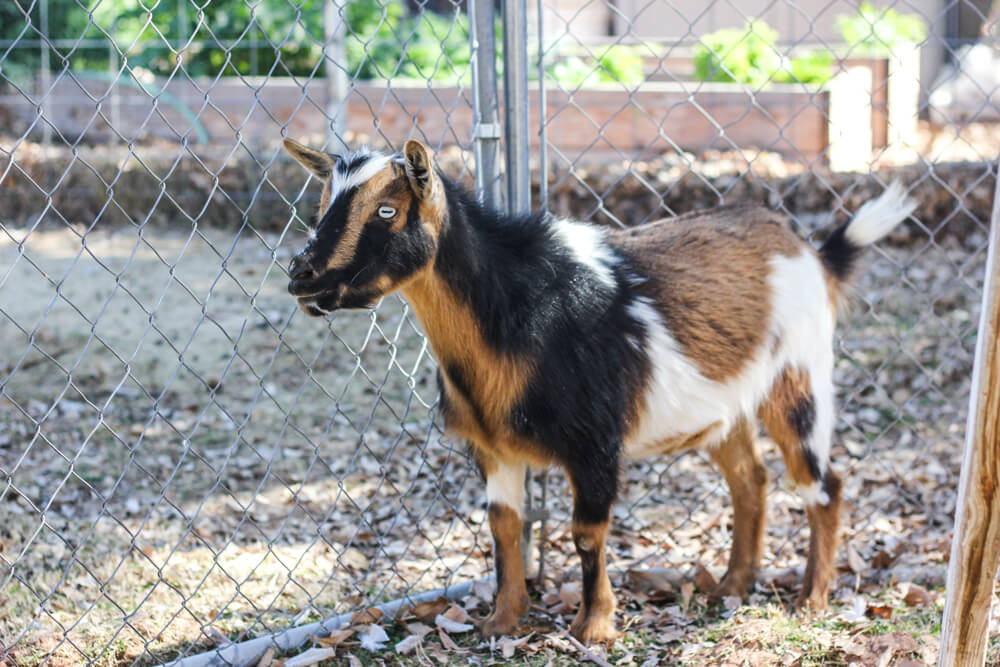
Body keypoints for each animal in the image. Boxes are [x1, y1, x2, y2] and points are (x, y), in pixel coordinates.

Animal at [282, 138, 916, 644]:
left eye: (387, 209)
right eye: (322, 203)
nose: (300, 275)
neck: (517, 310)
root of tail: (811, 252)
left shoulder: (594, 441)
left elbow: (586, 533)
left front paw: (594, 627)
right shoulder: (493, 449)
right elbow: (504, 527)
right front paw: (501, 621)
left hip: (799, 376)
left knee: (823, 485)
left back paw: (812, 600)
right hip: (723, 407)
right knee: (749, 481)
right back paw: (732, 584)